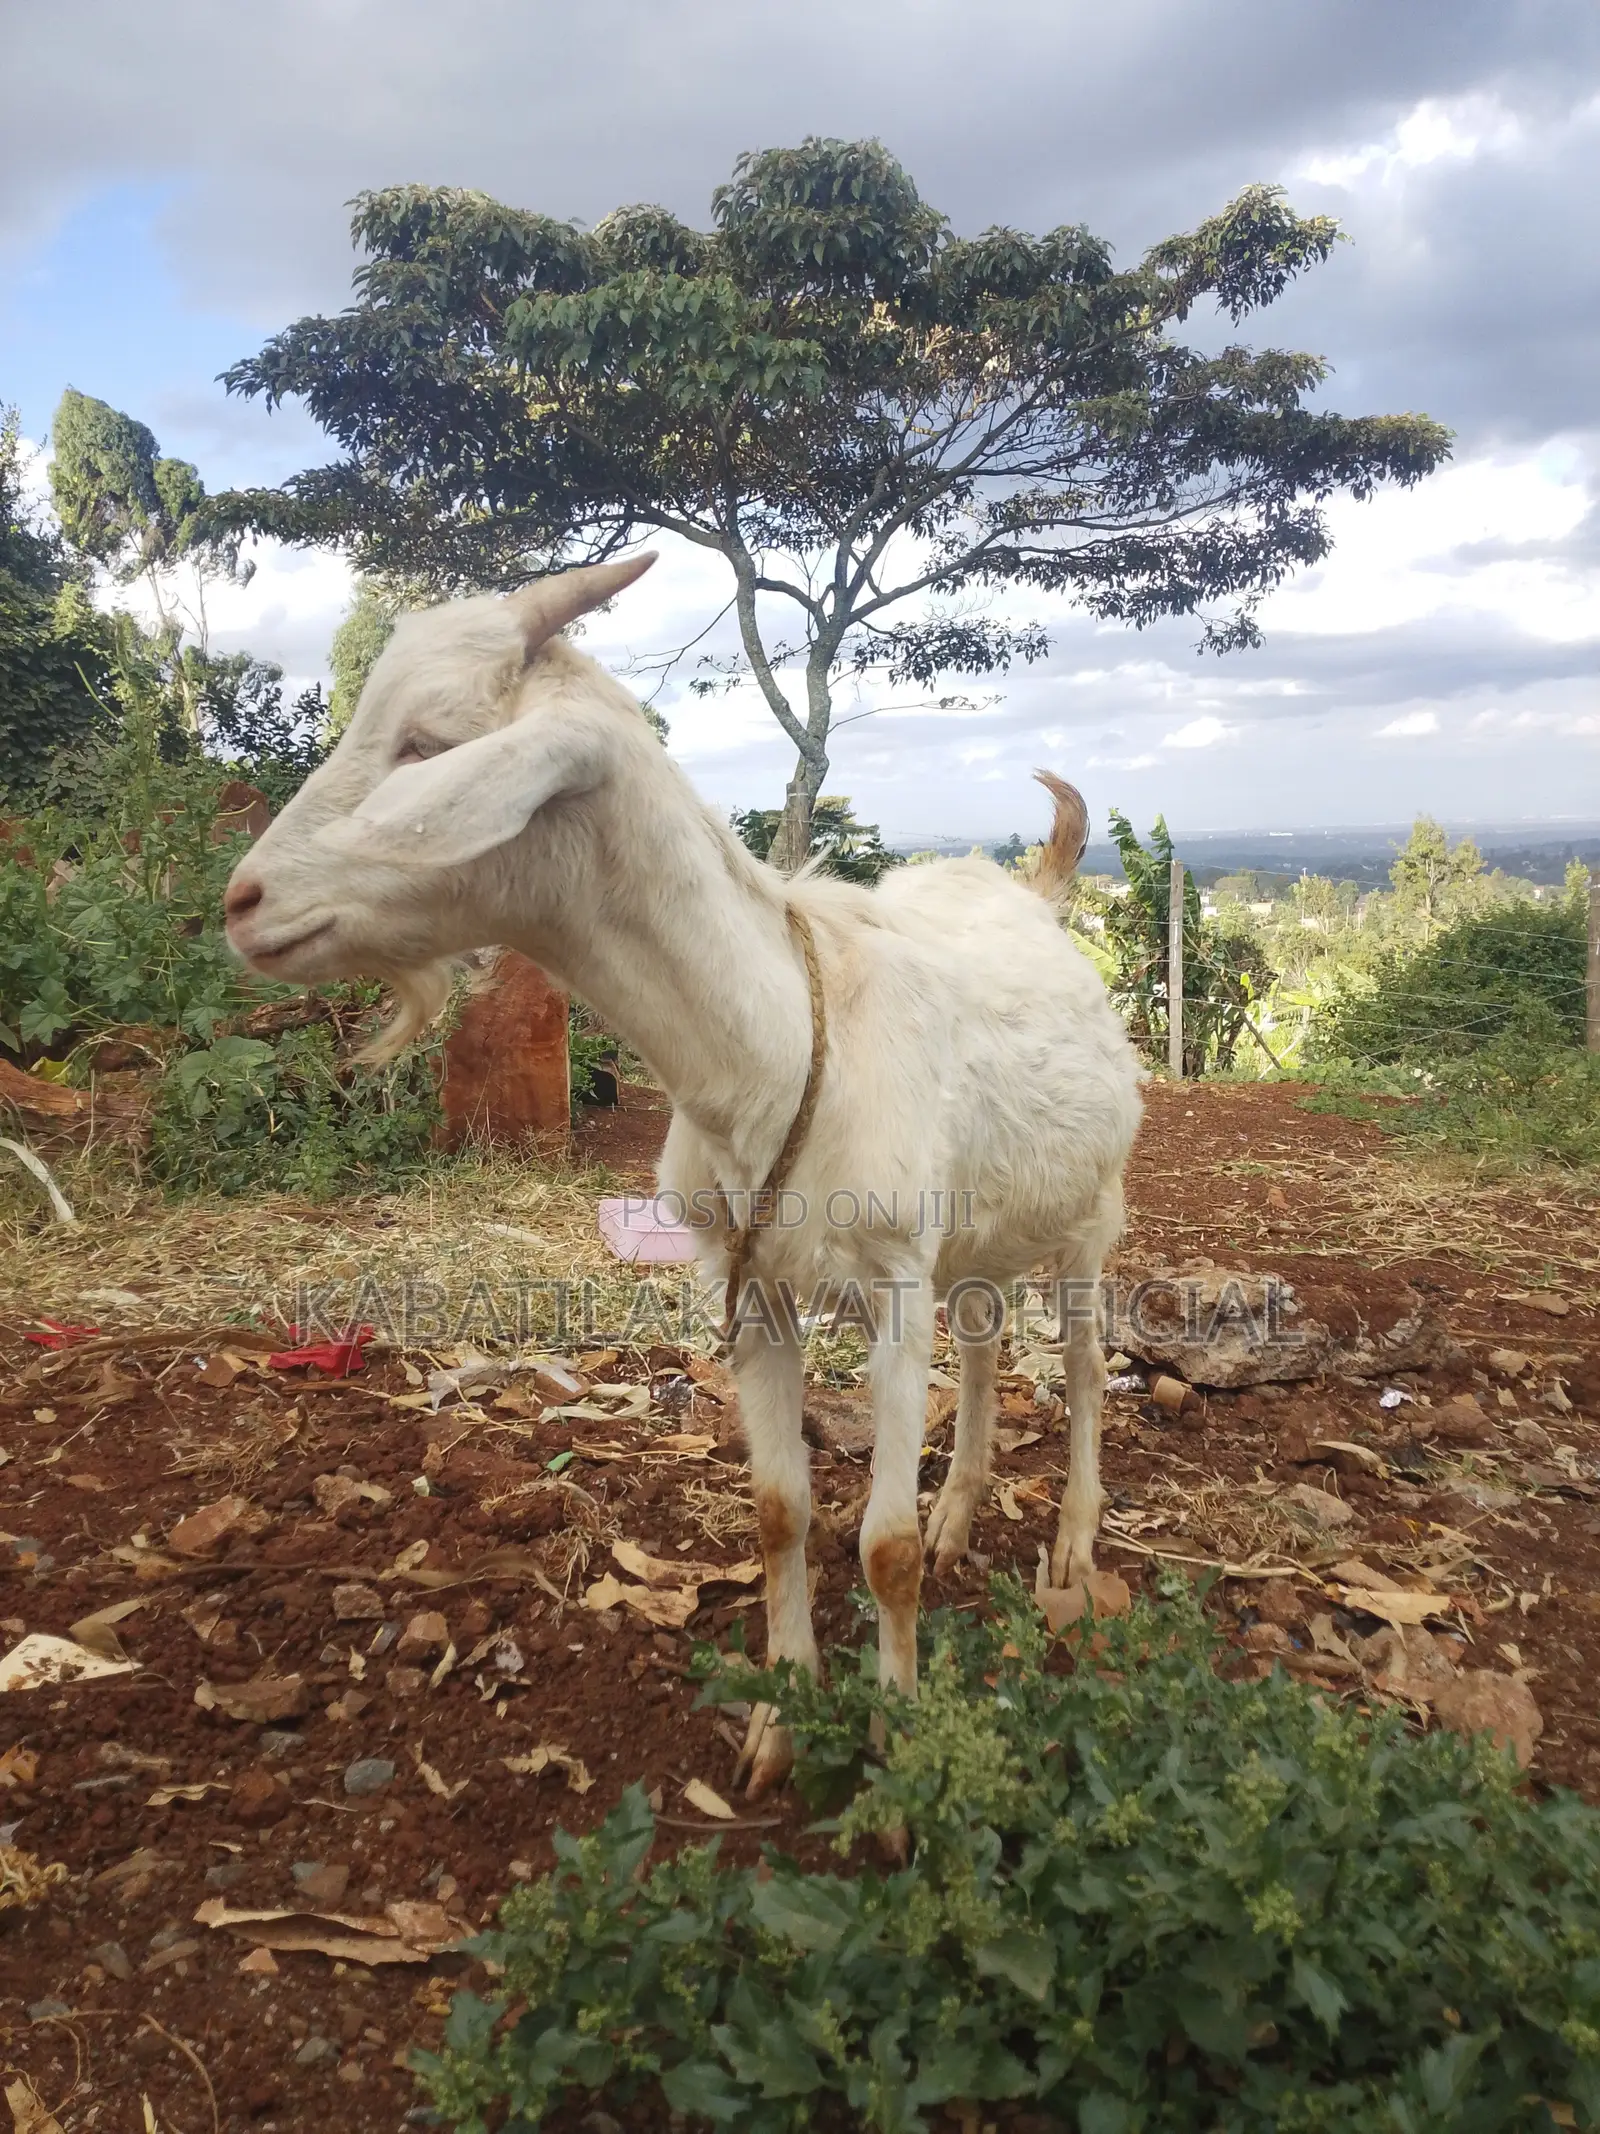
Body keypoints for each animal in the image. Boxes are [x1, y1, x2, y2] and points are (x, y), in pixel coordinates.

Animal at [224, 554, 1143, 1796]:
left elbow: (885, 1547)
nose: (243, 902)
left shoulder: (893, 1282)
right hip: (977, 1230)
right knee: (990, 1340)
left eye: (425, 742)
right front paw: (779, 1719)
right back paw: (962, 1509)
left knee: (1086, 1367)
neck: (777, 1050)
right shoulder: (749, 1283)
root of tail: (1032, 897)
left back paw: (1074, 1539)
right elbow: (777, 1508)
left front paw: (898, 1756)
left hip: (1089, 1217)